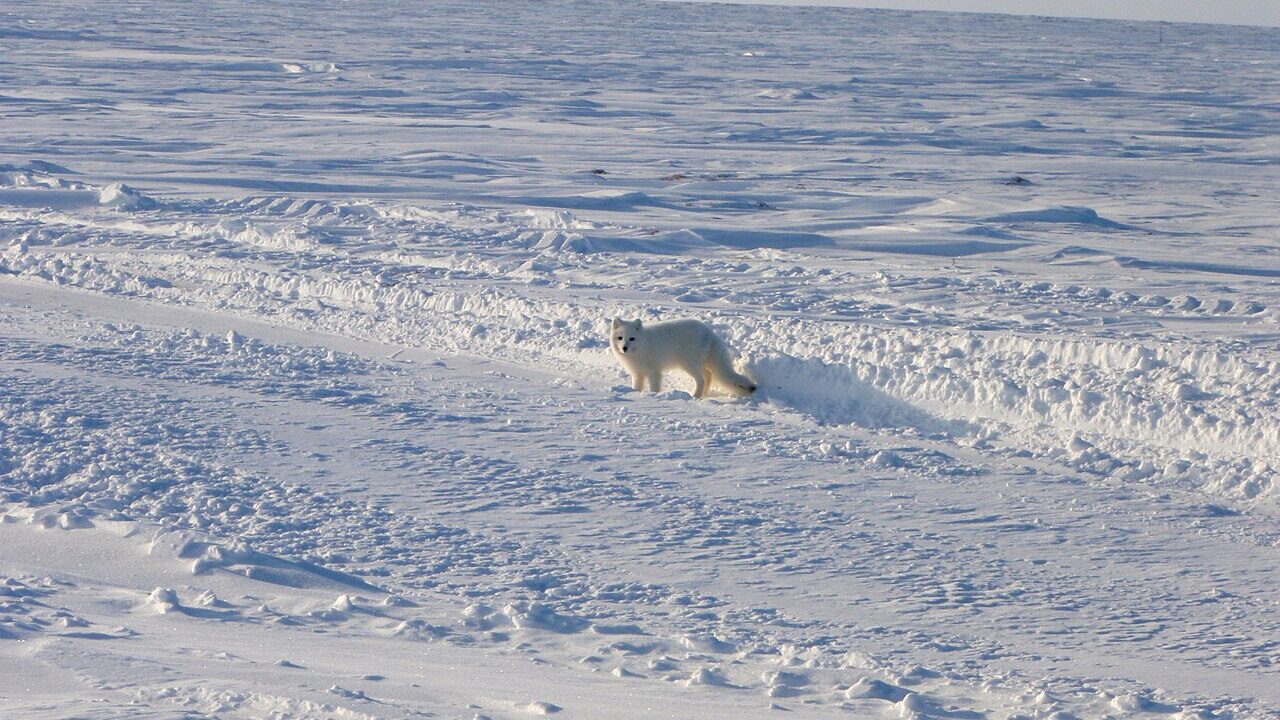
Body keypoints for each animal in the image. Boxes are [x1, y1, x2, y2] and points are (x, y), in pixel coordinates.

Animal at [610, 317, 756, 399]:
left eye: (632, 338)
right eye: (620, 338)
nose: (624, 348)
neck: (641, 347)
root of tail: (709, 333)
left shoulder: (654, 372)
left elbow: (654, 387)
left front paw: (653, 395)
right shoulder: (637, 373)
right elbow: (637, 386)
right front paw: (634, 393)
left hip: (689, 364)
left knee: (702, 379)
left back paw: (695, 396)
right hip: (697, 363)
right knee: (708, 376)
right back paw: (703, 395)